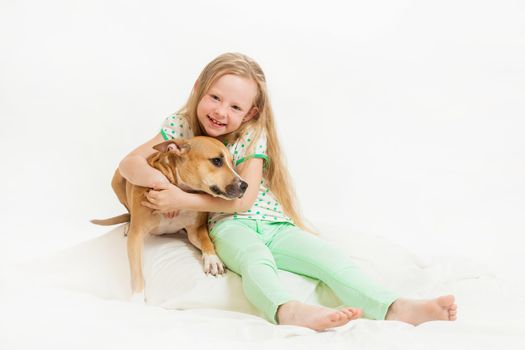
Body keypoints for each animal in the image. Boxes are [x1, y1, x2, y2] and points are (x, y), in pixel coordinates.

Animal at [91, 137, 247, 298]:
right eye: (216, 161)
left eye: (232, 163)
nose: (244, 185)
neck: (180, 189)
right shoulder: (136, 235)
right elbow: (136, 270)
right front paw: (137, 297)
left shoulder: (196, 230)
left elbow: (206, 240)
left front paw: (213, 259)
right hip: (117, 179)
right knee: (129, 212)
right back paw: (128, 223)